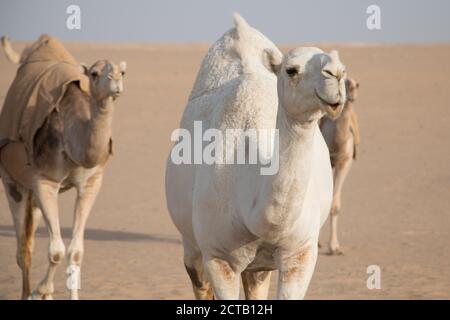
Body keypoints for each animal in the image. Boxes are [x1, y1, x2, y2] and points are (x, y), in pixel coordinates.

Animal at [167, 14, 346, 300]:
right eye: (291, 70)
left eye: (342, 69)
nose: (337, 74)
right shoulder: (219, 258)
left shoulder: (300, 254)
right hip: (191, 244)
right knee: (199, 279)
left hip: (259, 265)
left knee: (255, 281)